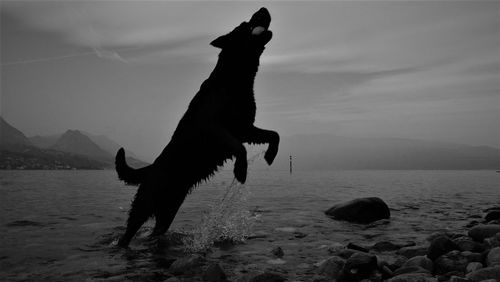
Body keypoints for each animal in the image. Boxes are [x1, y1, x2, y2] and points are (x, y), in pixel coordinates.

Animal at [116, 7, 282, 247]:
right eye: (245, 24)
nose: (263, 8)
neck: (234, 77)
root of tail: (150, 167)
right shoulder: (215, 129)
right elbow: (239, 148)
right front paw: (241, 171)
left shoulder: (245, 128)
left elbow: (274, 134)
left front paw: (270, 155)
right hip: (145, 204)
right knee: (128, 232)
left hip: (168, 209)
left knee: (158, 229)